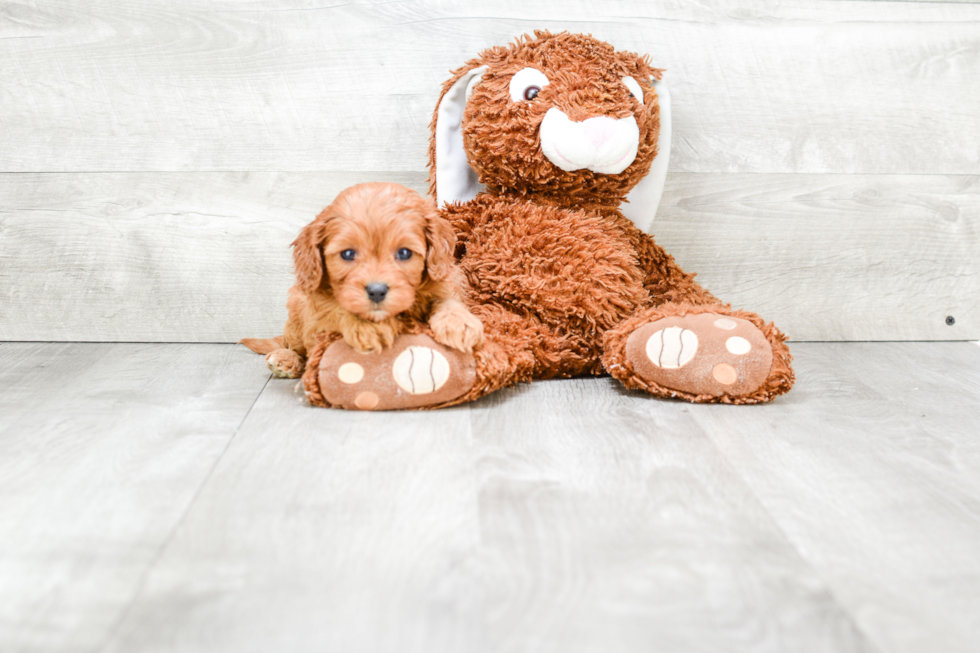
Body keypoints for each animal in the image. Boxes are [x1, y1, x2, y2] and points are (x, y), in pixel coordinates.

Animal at [237, 182, 482, 376]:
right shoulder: (318, 313)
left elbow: (448, 300)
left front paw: (458, 322)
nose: (377, 291)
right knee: (298, 348)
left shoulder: (445, 280)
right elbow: (336, 310)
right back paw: (286, 359)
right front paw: (368, 326)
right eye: (348, 254)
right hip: (297, 310)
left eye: (404, 253)